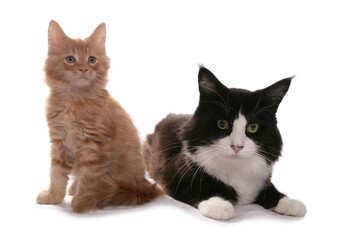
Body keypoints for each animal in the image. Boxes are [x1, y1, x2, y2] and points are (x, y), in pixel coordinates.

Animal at [37, 20, 161, 212]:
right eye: (70, 59)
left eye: (91, 59)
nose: (83, 69)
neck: (74, 100)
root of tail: (144, 184)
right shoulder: (60, 142)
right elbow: (56, 174)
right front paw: (53, 197)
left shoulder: (94, 147)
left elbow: (88, 179)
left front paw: (82, 201)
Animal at [143, 66, 306, 220]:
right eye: (222, 124)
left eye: (253, 127)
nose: (237, 147)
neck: (236, 169)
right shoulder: (173, 177)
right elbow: (196, 188)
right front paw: (218, 204)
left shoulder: (262, 178)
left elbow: (270, 188)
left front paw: (289, 202)